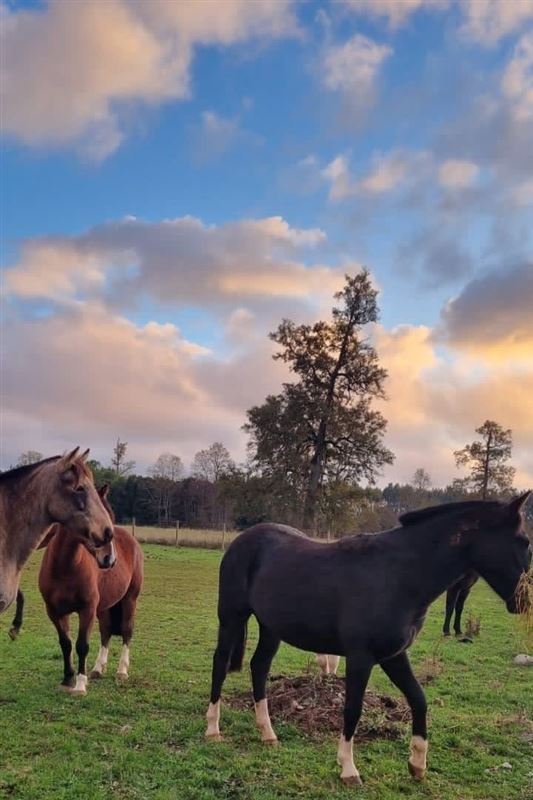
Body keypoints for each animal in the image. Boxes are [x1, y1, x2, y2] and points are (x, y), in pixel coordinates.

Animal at [38, 485, 143, 695]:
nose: (110, 559)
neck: (65, 568)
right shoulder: (54, 612)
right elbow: (65, 644)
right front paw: (67, 679)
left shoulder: (86, 610)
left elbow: (82, 645)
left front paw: (79, 685)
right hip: (104, 606)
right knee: (106, 631)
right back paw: (97, 669)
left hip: (130, 599)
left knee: (126, 631)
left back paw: (121, 671)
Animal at [205, 493, 532, 786]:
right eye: (524, 542)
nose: (525, 602)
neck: (399, 575)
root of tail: (242, 539)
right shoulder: (360, 657)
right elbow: (353, 709)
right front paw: (349, 769)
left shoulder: (394, 655)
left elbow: (419, 699)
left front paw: (417, 765)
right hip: (231, 618)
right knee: (220, 663)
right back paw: (213, 730)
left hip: (271, 628)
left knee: (259, 667)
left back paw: (268, 734)